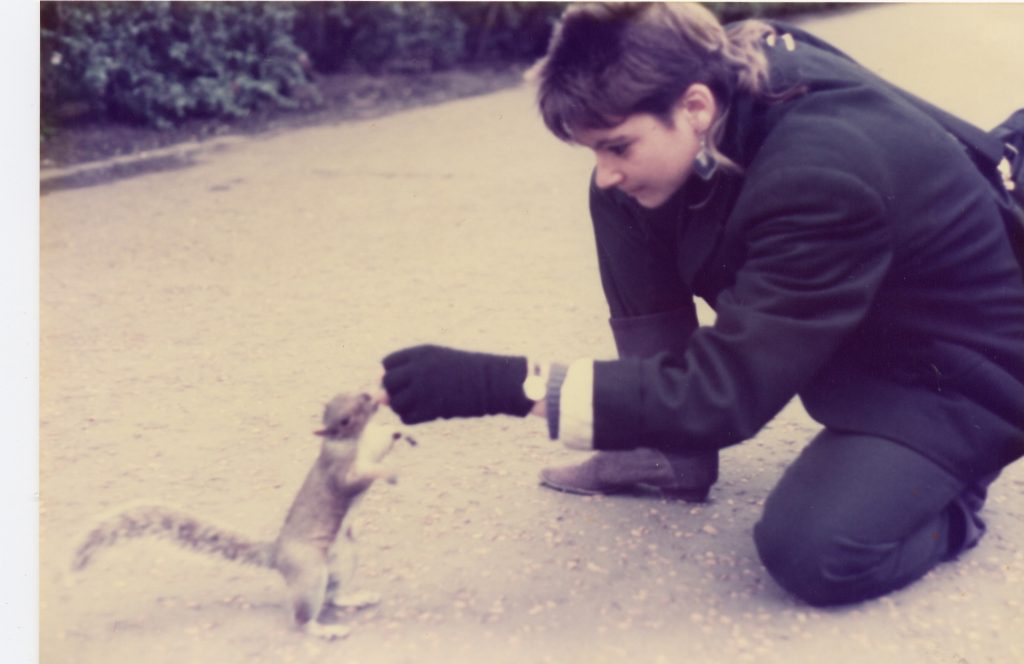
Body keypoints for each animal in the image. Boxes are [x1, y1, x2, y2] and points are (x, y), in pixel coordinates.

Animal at [71, 391, 415, 639]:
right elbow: (358, 478)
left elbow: (382, 445)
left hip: (344, 557)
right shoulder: (340, 474)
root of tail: (277, 555)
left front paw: (398, 433)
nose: (371, 396)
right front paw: (391, 473)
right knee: (303, 617)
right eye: (345, 418)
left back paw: (356, 599)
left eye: (355, 394)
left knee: (333, 596)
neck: (355, 440)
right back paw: (324, 630)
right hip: (309, 573)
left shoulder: (371, 448)